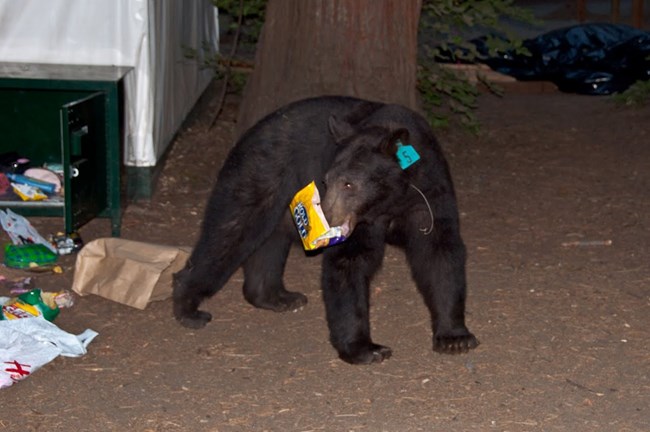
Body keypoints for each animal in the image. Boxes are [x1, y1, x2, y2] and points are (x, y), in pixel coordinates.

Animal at [172, 95, 476, 364]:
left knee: (268, 244)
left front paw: (454, 337)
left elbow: (439, 252)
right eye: (327, 180)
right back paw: (188, 307)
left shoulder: (429, 192)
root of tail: (245, 135)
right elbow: (348, 261)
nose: (326, 219)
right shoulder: (360, 223)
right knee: (229, 232)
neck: (389, 202)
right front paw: (366, 348)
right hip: (258, 176)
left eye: (349, 184)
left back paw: (276, 297)